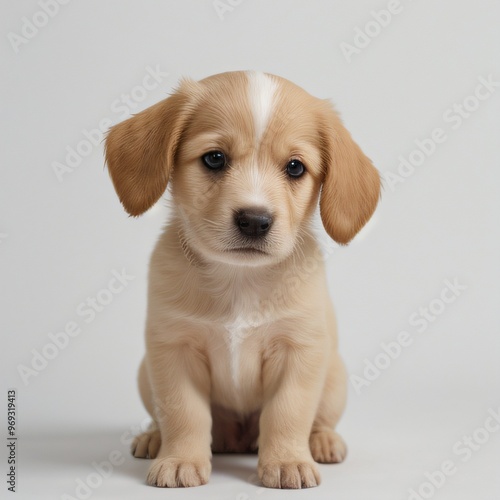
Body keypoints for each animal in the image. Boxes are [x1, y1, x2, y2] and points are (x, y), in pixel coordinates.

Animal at [104, 70, 378, 488]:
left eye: (295, 167)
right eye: (215, 158)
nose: (254, 220)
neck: (239, 280)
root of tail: (237, 438)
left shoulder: (298, 352)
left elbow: (287, 413)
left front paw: (286, 461)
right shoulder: (174, 351)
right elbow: (184, 414)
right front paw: (180, 459)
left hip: (334, 376)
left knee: (318, 420)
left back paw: (322, 441)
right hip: (144, 373)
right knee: (166, 418)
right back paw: (153, 437)